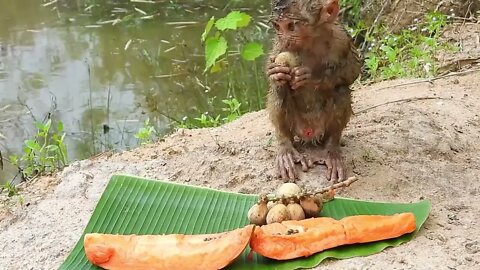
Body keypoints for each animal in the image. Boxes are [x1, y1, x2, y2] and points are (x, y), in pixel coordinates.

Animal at [266, 0, 360, 182]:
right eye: (277, 26)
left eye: (291, 26)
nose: (286, 40)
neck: (310, 41)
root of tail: (309, 133)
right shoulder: (279, 44)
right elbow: (274, 72)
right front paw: (275, 72)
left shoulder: (341, 38)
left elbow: (353, 69)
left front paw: (312, 77)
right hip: (295, 125)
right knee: (279, 88)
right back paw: (286, 148)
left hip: (322, 127)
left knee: (341, 89)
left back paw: (332, 149)